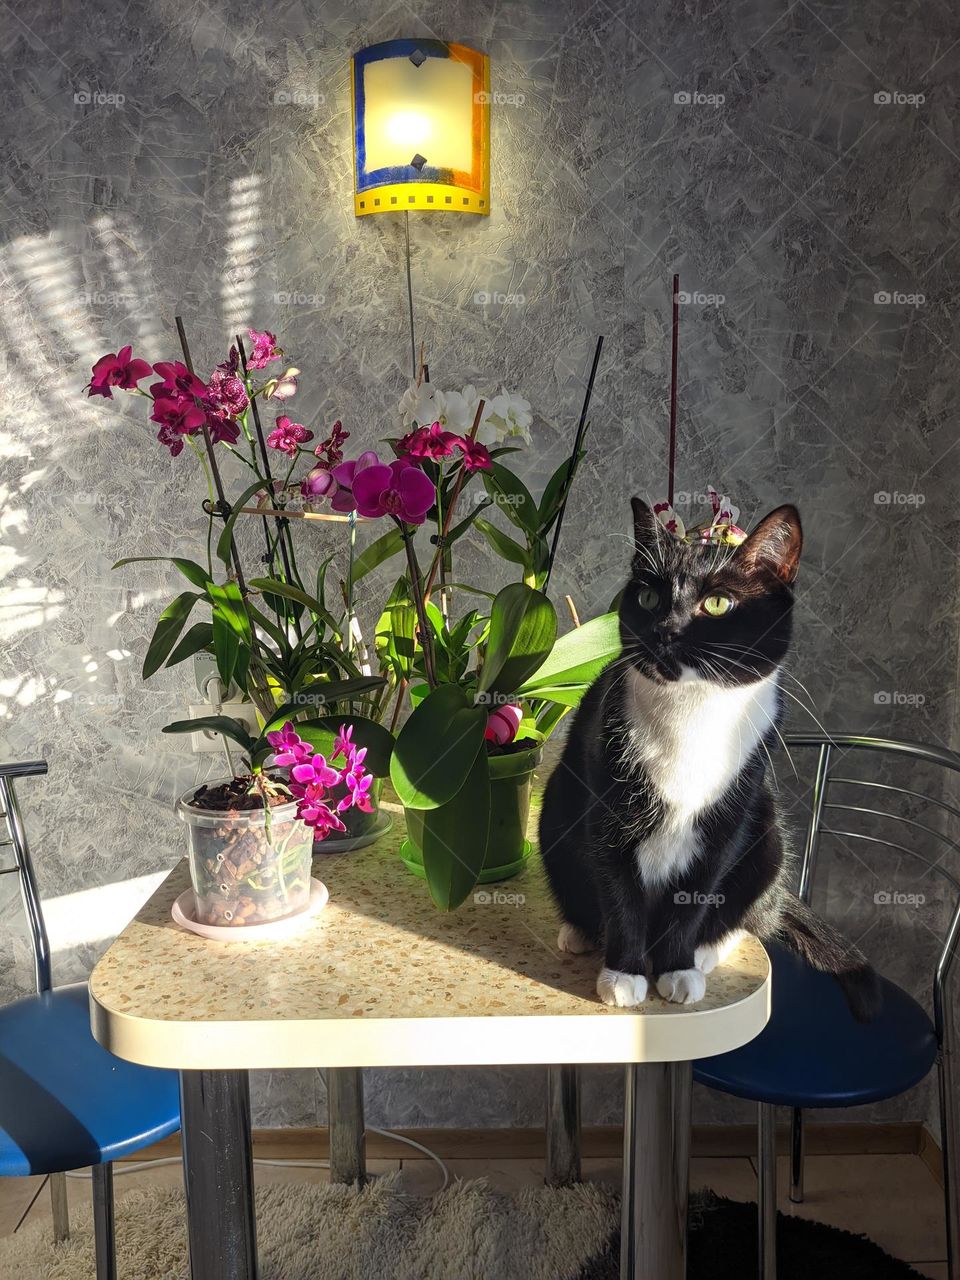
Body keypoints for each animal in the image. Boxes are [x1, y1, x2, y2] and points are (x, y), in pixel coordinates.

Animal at [537, 496, 885, 1018]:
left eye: (718, 603)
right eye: (648, 599)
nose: (665, 631)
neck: (693, 711)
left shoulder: (731, 813)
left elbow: (698, 891)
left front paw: (678, 968)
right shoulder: (607, 802)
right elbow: (619, 889)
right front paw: (624, 974)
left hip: (767, 833)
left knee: (755, 911)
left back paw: (705, 950)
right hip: (555, 809)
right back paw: (581, 932)